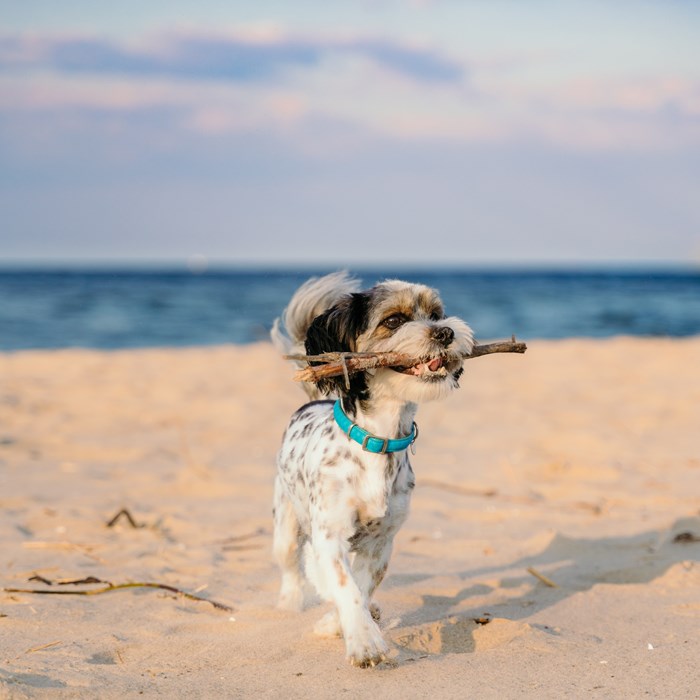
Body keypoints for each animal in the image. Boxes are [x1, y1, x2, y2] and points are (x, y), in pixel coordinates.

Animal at [270, 270, 474, 668]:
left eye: (436, 314)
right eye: (393, 321)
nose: (445, 332)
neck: (379, 440)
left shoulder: (383, 541)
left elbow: (362, 587)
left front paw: (343, 623)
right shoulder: (329, 534)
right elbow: (344, 585)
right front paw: (364, 642)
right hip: (286, 523)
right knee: (292, 567)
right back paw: (289, 603)